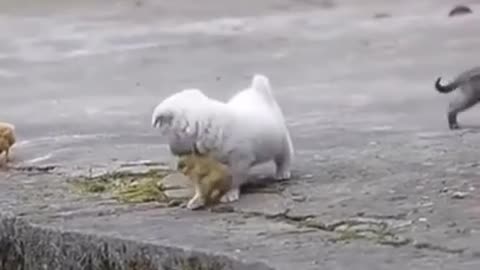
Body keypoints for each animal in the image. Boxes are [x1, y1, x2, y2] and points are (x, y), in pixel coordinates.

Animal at [151, 75, 292, 201]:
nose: (174, 152)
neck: (208, 126)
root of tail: (257, 90)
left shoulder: (239, 159)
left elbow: (234, 179)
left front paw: (230, 194)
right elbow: (201, 180)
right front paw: (198, 197)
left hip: (281, 141)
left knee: (284, 156)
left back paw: (282, 172)